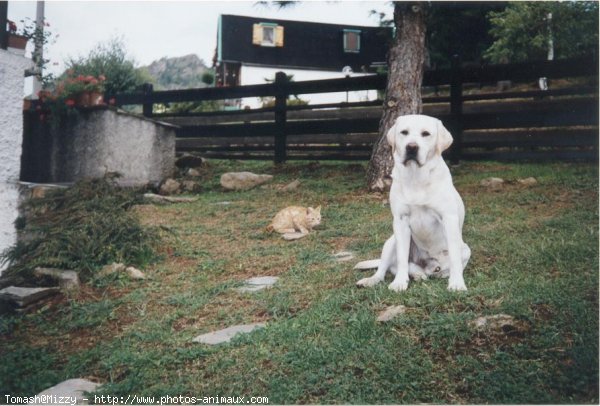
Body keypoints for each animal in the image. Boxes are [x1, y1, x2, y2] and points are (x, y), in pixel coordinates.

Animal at [356, 114, 468, 292]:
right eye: (404, 132)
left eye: (426, 134)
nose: (412, 147)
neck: (416, 177)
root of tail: (428, 267)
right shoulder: (401, 220)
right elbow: (402, 259)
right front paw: (400, 282)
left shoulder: (449, 219)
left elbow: (455, 259)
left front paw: (457, 283)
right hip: (391, 241)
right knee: (386, 268)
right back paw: (377, 279)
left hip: (466, 249)